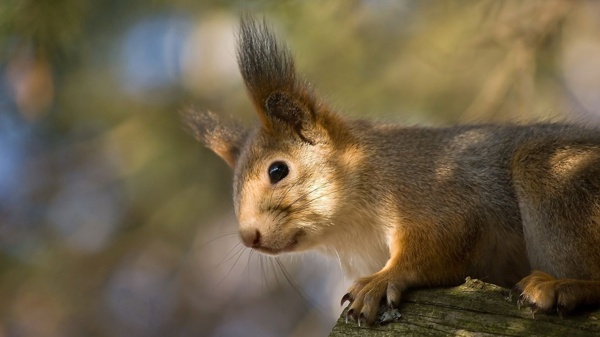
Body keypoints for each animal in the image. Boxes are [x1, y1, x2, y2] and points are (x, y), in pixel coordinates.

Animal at [183, 15, 600, 326]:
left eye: (277, 171)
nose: (248, 236)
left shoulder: (432, 189)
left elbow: (443, 239)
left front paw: (381, 281)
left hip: (555, 177)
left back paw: (562, 287)